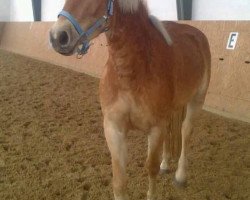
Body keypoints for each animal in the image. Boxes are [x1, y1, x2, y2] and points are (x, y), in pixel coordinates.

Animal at [49, 0, 211, 199]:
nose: (58, 36)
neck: (132, 73)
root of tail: (196, 34)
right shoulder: (113, 129)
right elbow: (119, 183)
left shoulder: (155, 129)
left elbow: (151, 168)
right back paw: (166, 164)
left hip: (196, 101)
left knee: (186, 132)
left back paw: (180, 176)